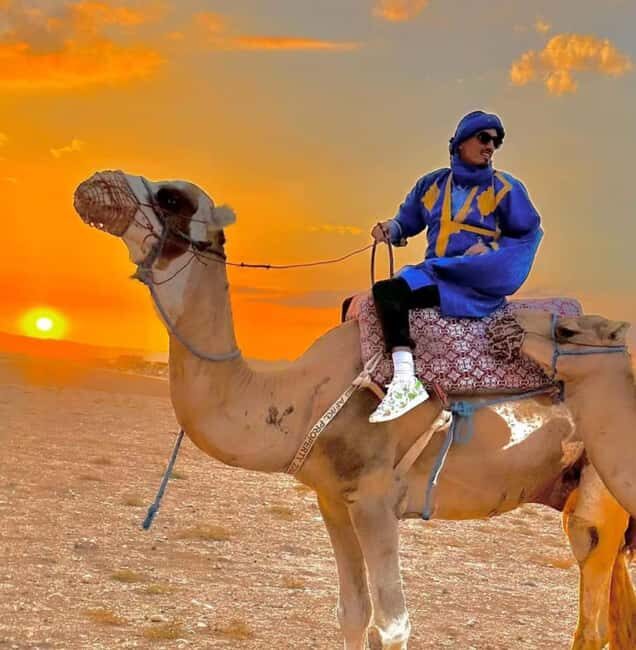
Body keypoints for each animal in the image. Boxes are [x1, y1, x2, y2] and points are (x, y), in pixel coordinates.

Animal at [73, 170, 636, 649]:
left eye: (172, 197)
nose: (94, 183)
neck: (298, 400)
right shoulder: (331, 498)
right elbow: (352, 613)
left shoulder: (374, 496)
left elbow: (391, 624)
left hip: (600, 498)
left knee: (591, 601)